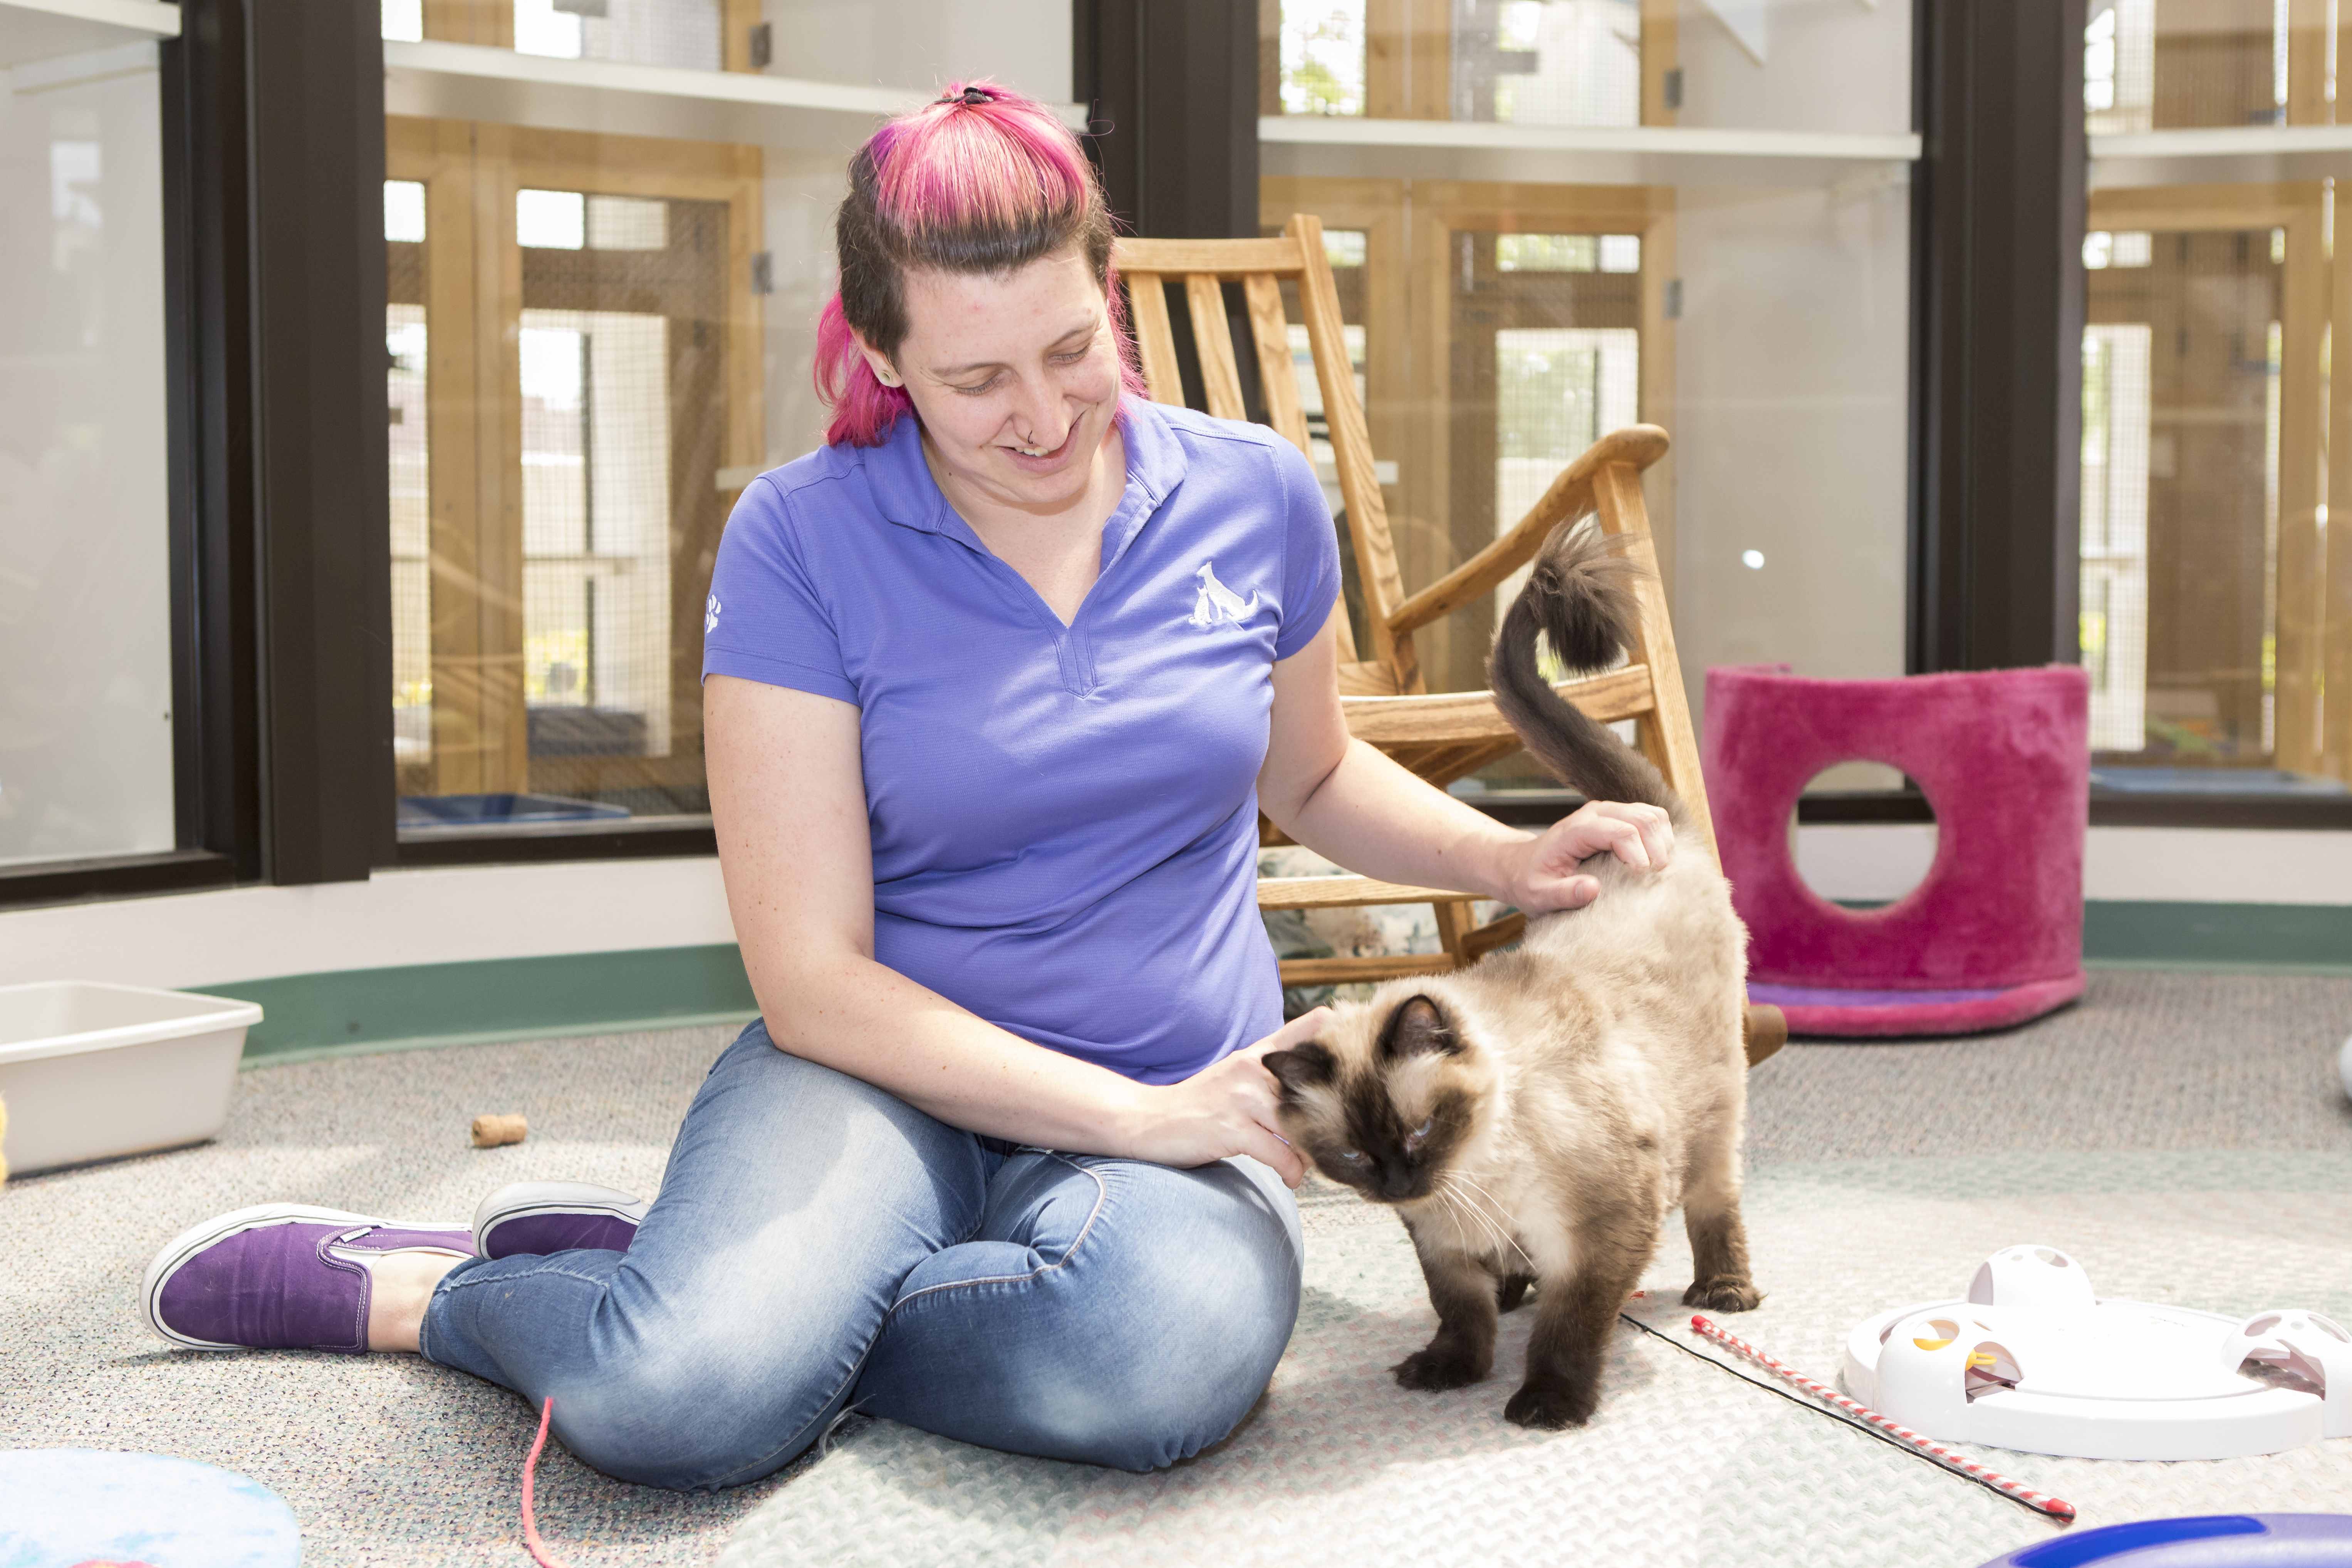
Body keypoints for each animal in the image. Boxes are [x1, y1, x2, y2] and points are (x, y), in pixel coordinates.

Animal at [1279, 522, 1759, 1429]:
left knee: (1715, 1205)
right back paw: (1512, 1286)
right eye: (1353, 1156)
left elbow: (1569, 1328)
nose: (1397, 1182)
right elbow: (1459, 1312)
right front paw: (1451, 1369)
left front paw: (1546, 1403)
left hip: (1713, 1120)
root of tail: (1652, 830)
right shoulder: (1438, 1240)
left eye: (1419, 1132)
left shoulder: (1600, 1234)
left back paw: (1725, 1288)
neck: (1471, 1179)